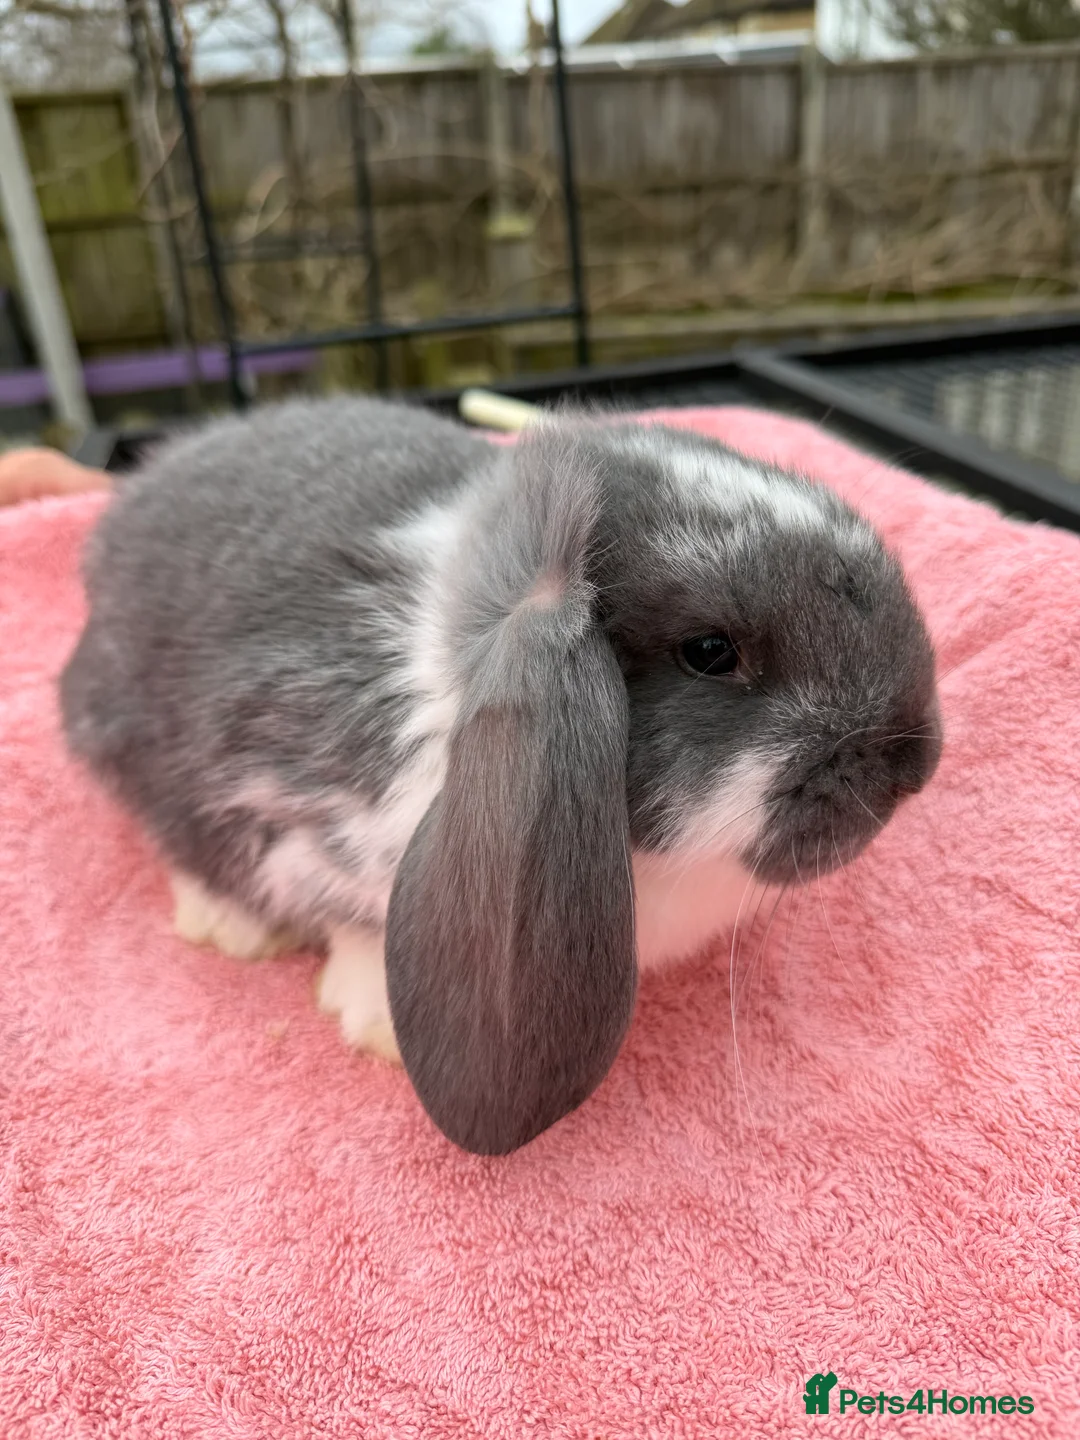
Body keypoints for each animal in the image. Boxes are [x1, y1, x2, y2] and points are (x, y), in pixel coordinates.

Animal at [60, 396, 942, 1155]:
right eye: (709, 651)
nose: (917, 764)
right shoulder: (304, 807)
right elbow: (349, 918)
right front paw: (379, 1022)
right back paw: (229, 925)